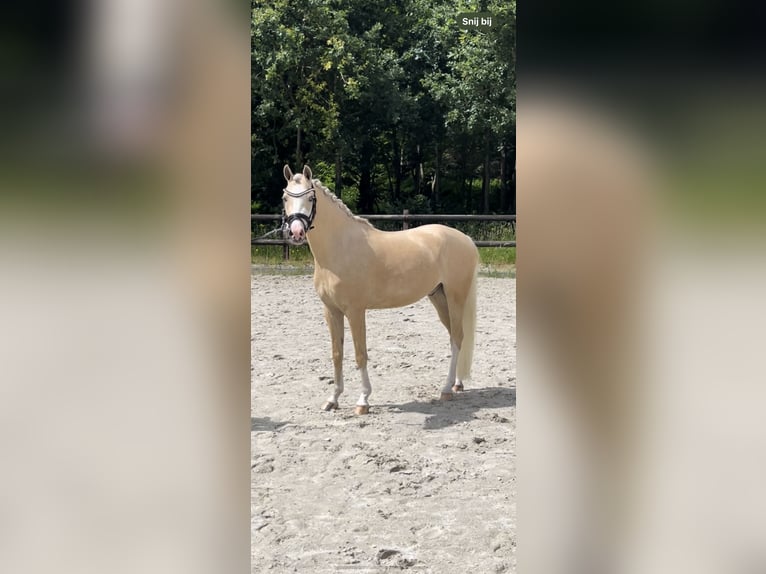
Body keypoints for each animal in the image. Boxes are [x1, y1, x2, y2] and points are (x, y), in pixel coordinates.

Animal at [282, 164, 480, 416]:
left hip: (456, 298)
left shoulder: (355, 311)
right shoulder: (331, 311)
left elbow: (360, 354)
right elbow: (337, 354)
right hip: (439, 297)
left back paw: (445, 390)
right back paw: (456, 384)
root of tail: (465, 239)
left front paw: (363, 401)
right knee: (455, 336)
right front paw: (333, 399)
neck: (340, 248)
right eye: (285, 197)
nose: (296, 232)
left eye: (310, 197)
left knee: (457, 337)